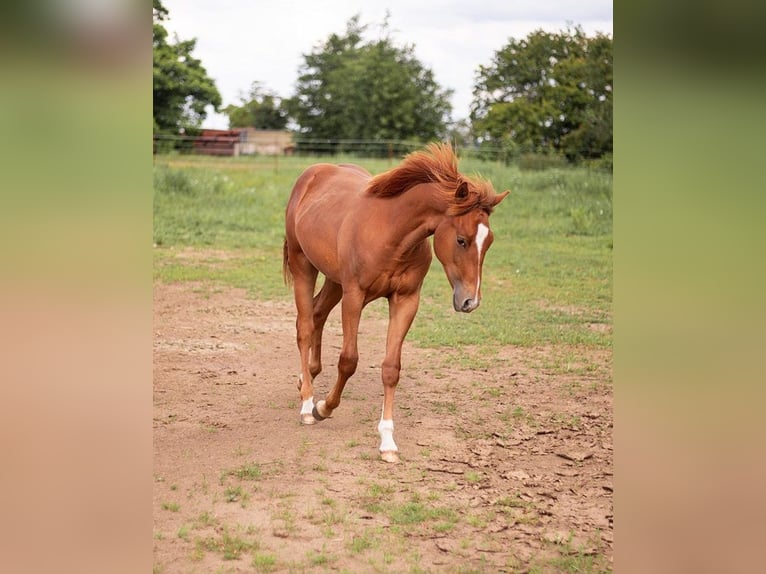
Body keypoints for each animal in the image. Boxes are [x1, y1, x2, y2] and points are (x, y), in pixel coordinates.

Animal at [282, 143, 510, 464]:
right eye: (461, 240)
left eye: (488, 242)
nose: (470, 301)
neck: (391, 231)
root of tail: (313, 173)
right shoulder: (354, 296)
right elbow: (348, 360)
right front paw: (323, 407)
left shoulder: (405, 300)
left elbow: (391, 368)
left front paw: (388, 442)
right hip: (304, 264)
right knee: (304, 326)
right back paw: (306, 405)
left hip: (334, 280)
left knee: (317, 314)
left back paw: (307, 379)